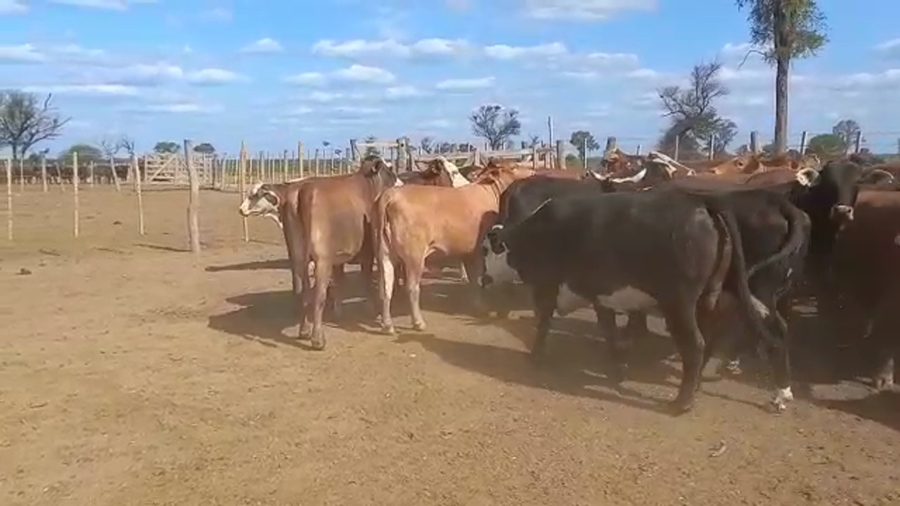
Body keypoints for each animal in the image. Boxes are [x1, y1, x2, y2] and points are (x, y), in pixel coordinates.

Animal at [292, 155, 402, 350]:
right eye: (390, 172)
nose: (398, 180)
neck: (369, 186)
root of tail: (305, 191)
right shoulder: (368, 250)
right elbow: (367, 277)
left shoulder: (338, 256)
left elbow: (340, 280)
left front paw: (339, 312)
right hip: (322, 260)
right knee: (318, 296)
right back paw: (318, 339)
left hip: (300, 258)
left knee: (305, 293)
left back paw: (304, 331)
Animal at [373, 161, 535, 334]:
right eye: (513, 167)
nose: (531, 172)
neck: (490, 192)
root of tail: (390, 195)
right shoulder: (482, 250)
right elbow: (480, 277)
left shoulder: (468, 251)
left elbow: (473, 279)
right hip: (414, 257)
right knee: (412, 288)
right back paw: (418, 322)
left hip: (384, 254)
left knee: (385, 288)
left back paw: (388, 324)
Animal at [480, 184, 809, 414]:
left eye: (484, 250)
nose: (482, 279)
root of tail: (702, 201)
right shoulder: (600, 293)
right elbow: (609, 331)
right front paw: (617, 367)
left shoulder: (547, 286)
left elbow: (543, 323)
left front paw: (535, 357)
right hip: (718, 297)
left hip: (682, 303)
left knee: (698, 345)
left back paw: (683, 403)